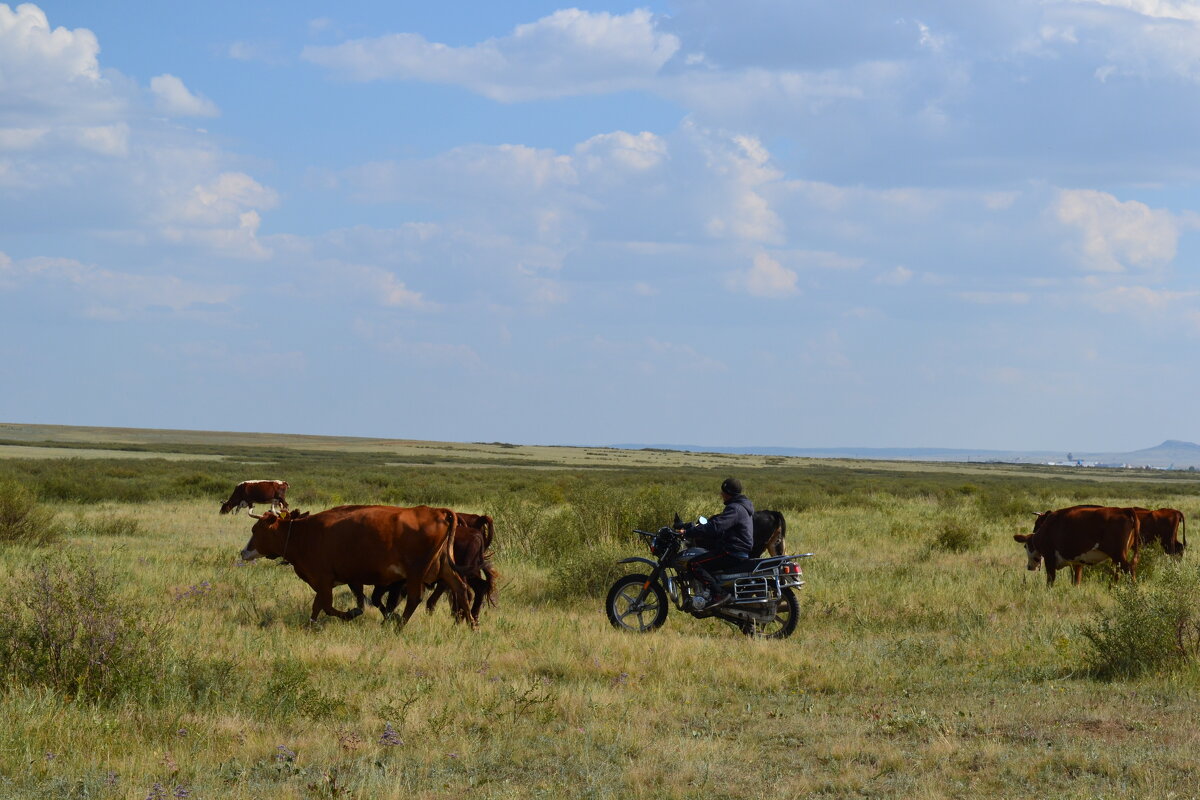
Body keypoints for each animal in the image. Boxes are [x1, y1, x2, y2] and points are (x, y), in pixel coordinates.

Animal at [238, 503, 472, 628]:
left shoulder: (323, 579)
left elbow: (324, 606)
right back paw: (471, 624)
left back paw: (398, 627)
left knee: (415, 598)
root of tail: (437, 511)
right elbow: (323, 605)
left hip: (416, 572)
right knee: (461, 588)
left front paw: (350, 614)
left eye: (255, 530)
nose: (244, 552)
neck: (304, 534)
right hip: (444, 567)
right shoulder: (348, 580)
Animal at [1012, 506, 1142, 587]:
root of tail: (1124, 510)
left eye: (1025, 546)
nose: (1029, 567)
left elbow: (1050, 580)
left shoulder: (1049, 558)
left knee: (1129, 570)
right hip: (1117, 558)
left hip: (1119, 555)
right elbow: (1076, 580)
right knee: (1118, 573)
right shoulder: (1077, 563)